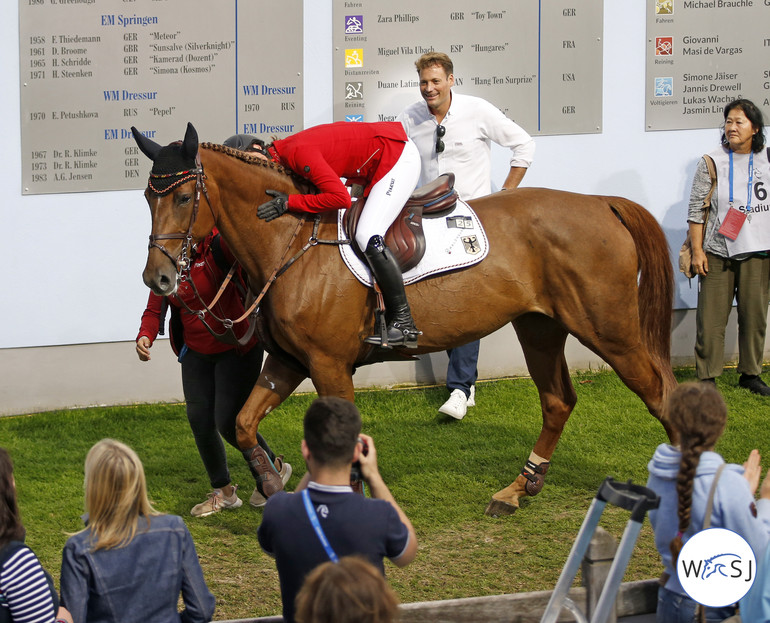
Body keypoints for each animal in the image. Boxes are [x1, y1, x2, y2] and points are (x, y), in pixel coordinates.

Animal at [135, 123, 676, 516]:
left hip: (611, 331)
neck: (289, 243)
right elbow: (244, 424)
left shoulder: (329, 366)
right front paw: (271, 483)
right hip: (539, 326)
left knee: (660, 393)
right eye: (146, 198)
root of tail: (600, 204)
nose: (157, 278)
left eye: (182, 198)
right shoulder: (290, 362)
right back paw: (517, 489)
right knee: (558, 401)